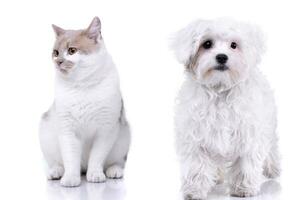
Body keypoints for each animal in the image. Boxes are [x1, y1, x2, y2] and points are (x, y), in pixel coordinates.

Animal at [38, 16, 130, 187]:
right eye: (55, 52)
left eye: (72, 51)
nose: (58, 61)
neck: (82, 85)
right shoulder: (67, 130)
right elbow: (70, 158)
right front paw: (70, 178)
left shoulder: (106, 129)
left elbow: (97, 157)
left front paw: (95, 174)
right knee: (57, 162)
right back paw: (56, 172)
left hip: (124, 139)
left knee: (117, 161)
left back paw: (114, 170)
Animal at [171, 18, 282, 198]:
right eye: (207, 44)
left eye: (234, 45)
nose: (222, 57)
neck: (220, 89)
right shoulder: (195, 135)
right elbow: (197, 165)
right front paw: (194, 190)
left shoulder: (248, 133)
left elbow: (245, 162)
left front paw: (243, 188)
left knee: (271, 146)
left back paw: (273, 169)